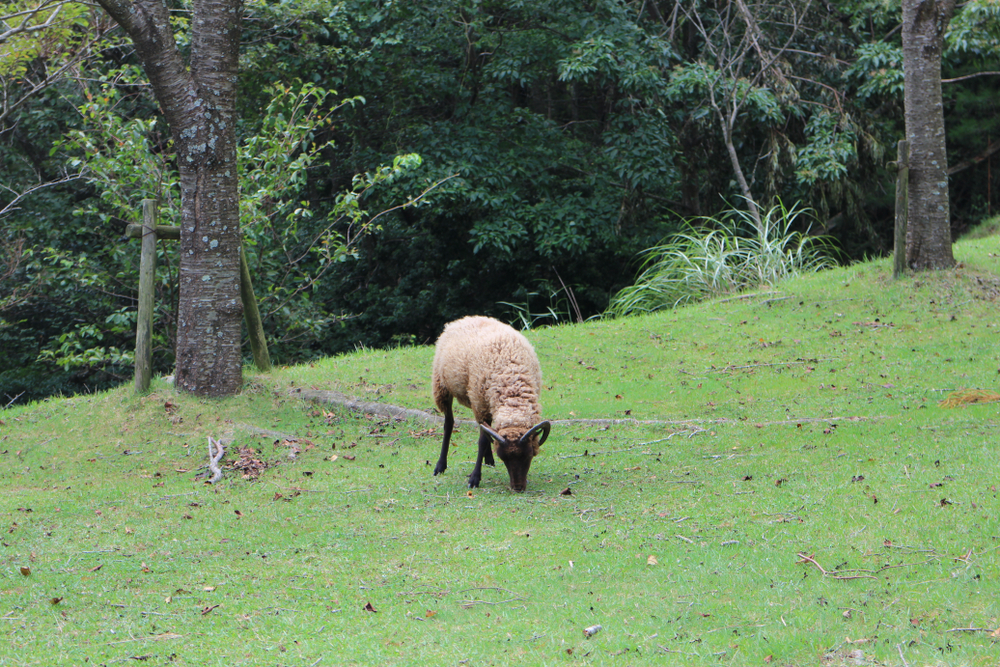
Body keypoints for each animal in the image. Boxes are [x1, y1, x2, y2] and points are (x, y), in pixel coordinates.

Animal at [432, 316, 556, 494]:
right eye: (504, 458)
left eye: (529, 455)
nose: (518, 488)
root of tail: (462, 319)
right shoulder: (479, 405)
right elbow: (482, 441)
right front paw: (474, 478)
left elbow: (486, 436)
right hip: (443, 387)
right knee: (449, 424)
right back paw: (440, 466)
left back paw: (488, 459)